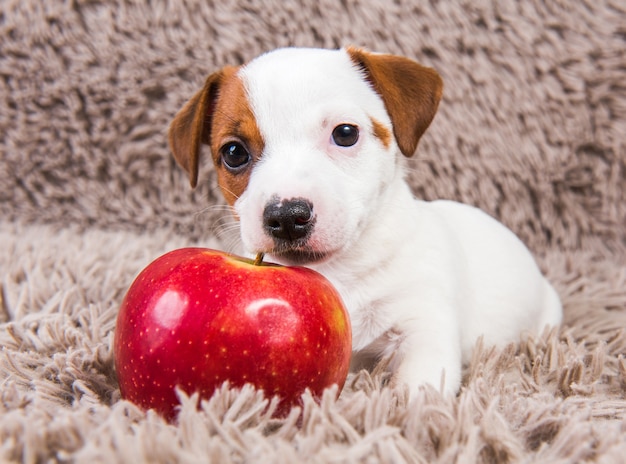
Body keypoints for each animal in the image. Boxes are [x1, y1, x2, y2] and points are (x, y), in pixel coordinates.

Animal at [167, 46, 560, 396]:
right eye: (234, 152)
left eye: (345, 133)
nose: (287, 216)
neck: (342, 270)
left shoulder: (423, 326)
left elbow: (419, 391)